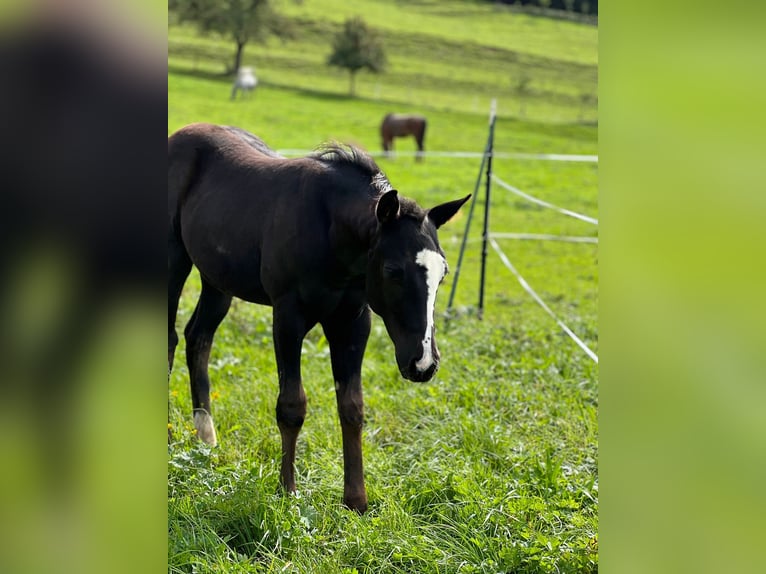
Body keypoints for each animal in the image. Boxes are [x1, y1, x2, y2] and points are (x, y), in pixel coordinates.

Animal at [168, 123, 470, 513]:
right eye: (393, 270)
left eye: (443, 272)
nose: (423, 364)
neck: (330, 229)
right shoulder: (288, 317)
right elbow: (292, 405)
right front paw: (288, 492)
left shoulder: (352, 322)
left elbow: (352, 406)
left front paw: (356, 502)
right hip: (173, 259)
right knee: (170, 338)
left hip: (217, 278)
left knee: (198, 338)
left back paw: (206, 438)